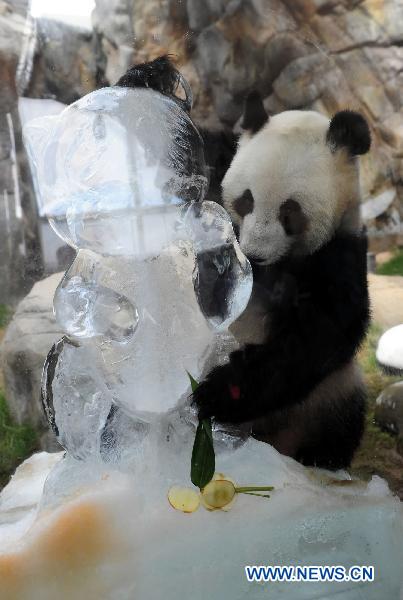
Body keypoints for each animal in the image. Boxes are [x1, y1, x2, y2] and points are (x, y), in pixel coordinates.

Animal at [117, 55, 372, 468]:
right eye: (246, 200)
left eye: (290, 212)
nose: (254, 253)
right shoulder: (216, 168)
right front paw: (151, 77)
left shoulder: (338, 252)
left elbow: (321, 332)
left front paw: (220, 393)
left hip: (320, 402)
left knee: (340, 408)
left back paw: (319, 457)